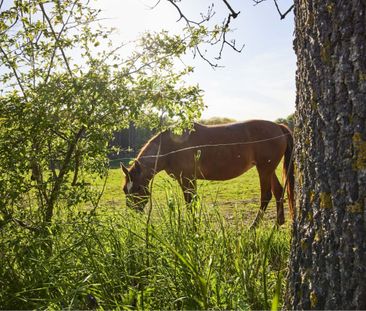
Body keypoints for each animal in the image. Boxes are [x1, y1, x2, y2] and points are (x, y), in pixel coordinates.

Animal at [121, 120, 296, 228]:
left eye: (137, 188)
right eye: (124, 189)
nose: (133, 213)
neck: (170, 147)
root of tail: (278, 127)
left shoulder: (188, 179)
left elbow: (190, 203)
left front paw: (193, 227)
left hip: (264, 169)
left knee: (266, 196)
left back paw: (253, 227)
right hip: (268, 169)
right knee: (278, 191)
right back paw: (278, 223)